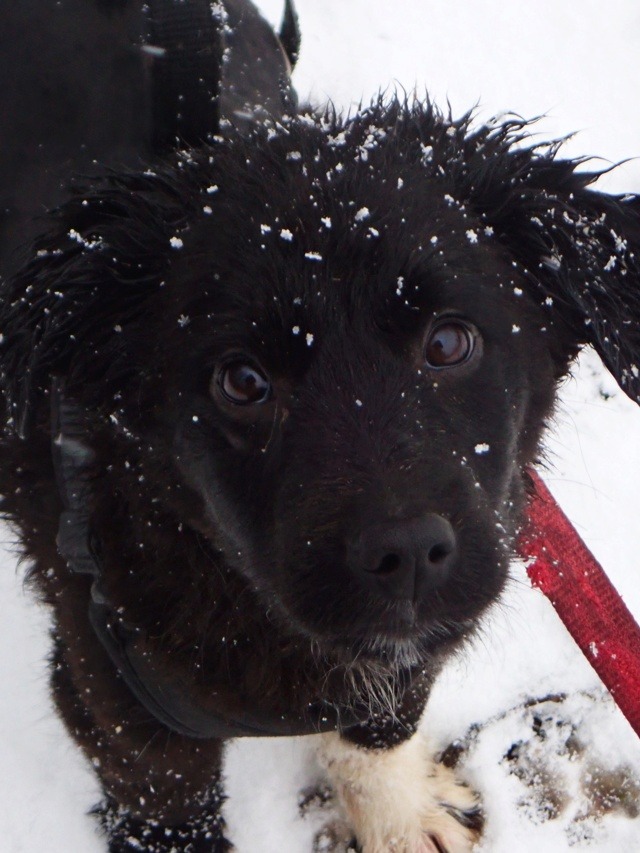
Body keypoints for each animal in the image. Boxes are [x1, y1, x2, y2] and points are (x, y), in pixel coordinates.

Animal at [2, 2, 640, 851]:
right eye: (242, 381)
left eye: (449, 342)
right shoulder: (113, 701)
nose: (406, 554)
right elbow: (167, 806)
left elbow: (381, 720)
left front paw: (399, 814)